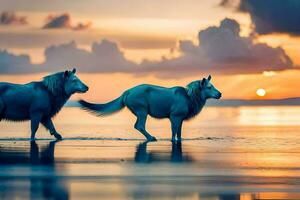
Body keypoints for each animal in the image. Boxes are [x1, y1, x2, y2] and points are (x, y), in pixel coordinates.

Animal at [79, 75, 220, 142]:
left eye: (213, 86)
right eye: (209, 87)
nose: (219, 94)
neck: (191, 98)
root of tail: (126, 92)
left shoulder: (180, 118)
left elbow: (179, 133)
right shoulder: (174, 116)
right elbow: (174, 132)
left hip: (141, 111)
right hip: (142, 110)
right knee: (139, 125)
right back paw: (151, 137)